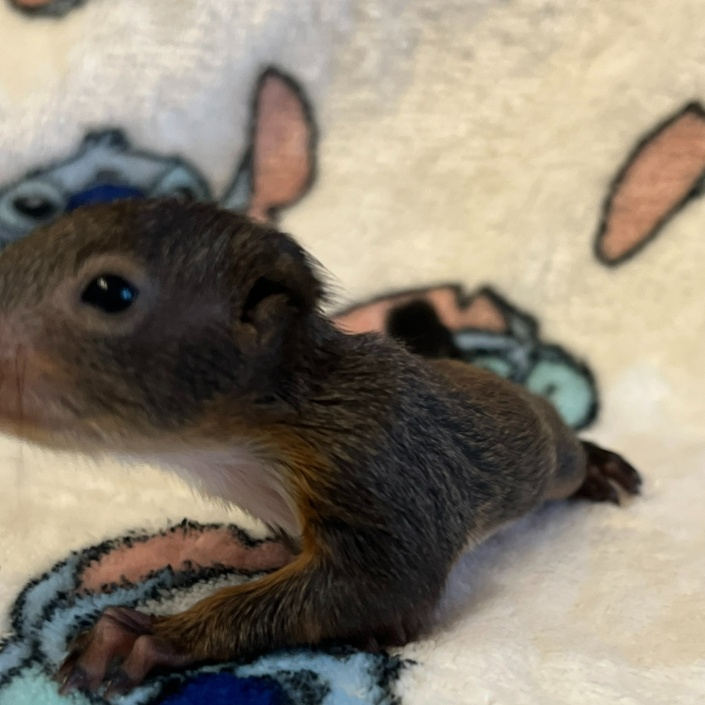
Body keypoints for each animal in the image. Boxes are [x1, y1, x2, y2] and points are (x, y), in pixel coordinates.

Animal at [0, 199, 641, 697]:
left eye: (111, 292)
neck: (242, 441)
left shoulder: (378, 462)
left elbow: (381, 584)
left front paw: (155, 636)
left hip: (546, 456)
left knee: (566, 462)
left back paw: (597, 464)